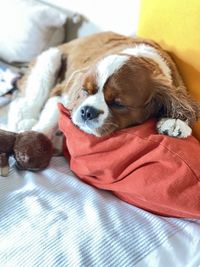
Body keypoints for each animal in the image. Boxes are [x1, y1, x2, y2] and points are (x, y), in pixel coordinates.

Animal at [7, 32, 199, 141]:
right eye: (85, 91)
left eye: (118, 104)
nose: (87, 111)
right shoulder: (64, 90)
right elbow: (50, 117)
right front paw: (35, 135)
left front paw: (175, 122)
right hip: (49, 60)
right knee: (24, 103)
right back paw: (22, 122)